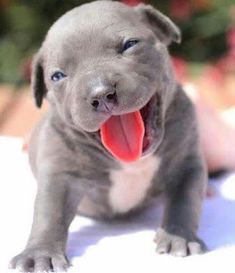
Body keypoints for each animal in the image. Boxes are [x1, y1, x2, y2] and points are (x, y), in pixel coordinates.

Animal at [9, 1, 207, 270]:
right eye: (58, 76)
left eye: (130, 44)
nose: (101, 93)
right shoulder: (60, 174)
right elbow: (50, 212)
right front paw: (40, 253)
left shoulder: (187, 164)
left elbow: (185, 201)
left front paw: (179, 237)